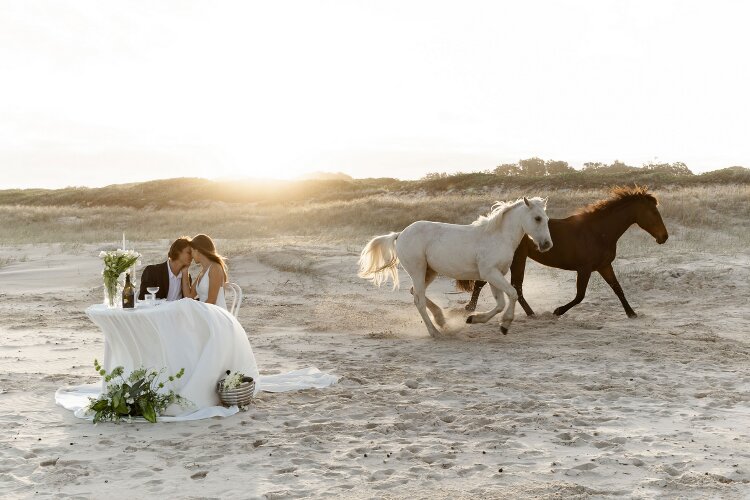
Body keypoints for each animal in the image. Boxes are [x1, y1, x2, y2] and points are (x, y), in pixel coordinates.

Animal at [362, 197, 556, 338]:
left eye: (547, 219)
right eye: (537, 218)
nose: (547, 245)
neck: (498, 237)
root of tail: (400, 234)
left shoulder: (495, 274)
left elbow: (500, 303)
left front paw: (474, 319)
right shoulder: (490, 273)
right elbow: (513, 294)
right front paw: (505, 325)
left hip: (429, 272)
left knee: (414, 293)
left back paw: (441, 320)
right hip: (418, 271)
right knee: (419, 300)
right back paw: (435, 332)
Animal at [464, 188, 668, 316]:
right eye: (654, 213)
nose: (664, 237)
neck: (598, 232)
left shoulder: (604, 266)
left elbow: (618, 289)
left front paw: (631, 313)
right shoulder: (584, 269)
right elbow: (580, 296)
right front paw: (558, 311)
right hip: (516, 260)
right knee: (506, 286)